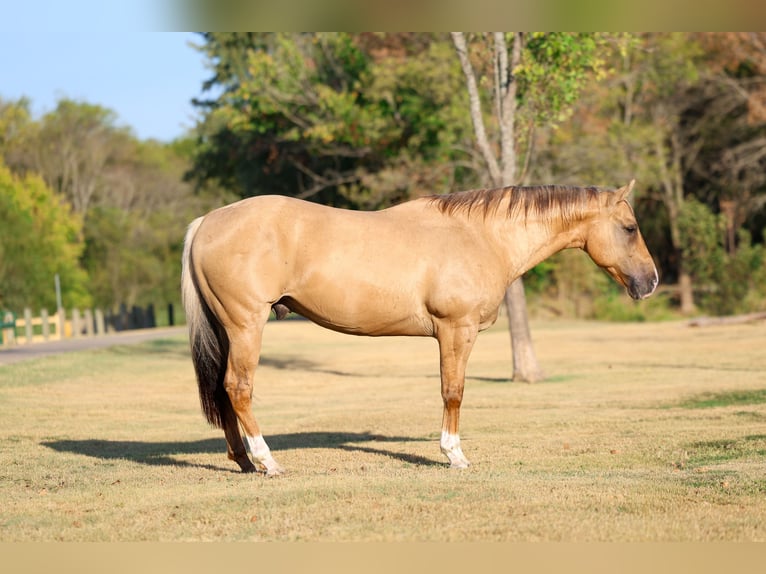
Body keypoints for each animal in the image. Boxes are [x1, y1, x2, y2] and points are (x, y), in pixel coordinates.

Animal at [181, 180, 658, 474]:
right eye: (630, 227)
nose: (650, 282)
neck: (480, 236)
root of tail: (207, 221)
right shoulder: (455, 331)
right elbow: (453, 391)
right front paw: (454, 455)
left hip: (228, 329)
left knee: (223, 389)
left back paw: (244, 461)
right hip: (247, 324)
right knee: (239, 387)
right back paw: (268, 462)